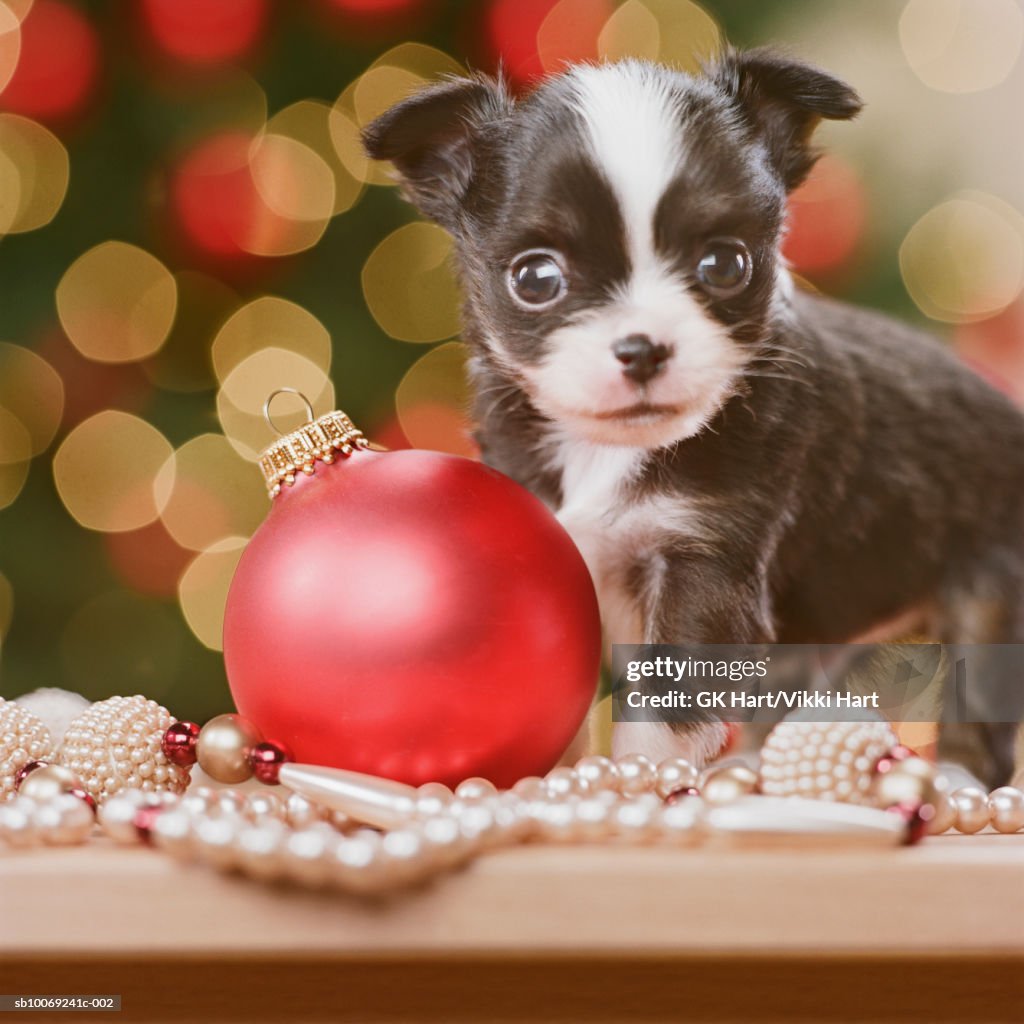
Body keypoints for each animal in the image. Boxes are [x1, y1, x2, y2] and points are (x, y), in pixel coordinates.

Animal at [364, 48, 1019, 782]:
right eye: (535, 279)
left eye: (726, 263)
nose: (642, 347)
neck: (606, 451)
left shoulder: (702, 564)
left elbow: (664, 700)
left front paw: (640, 784)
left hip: (990, 598)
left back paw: (953, 777)